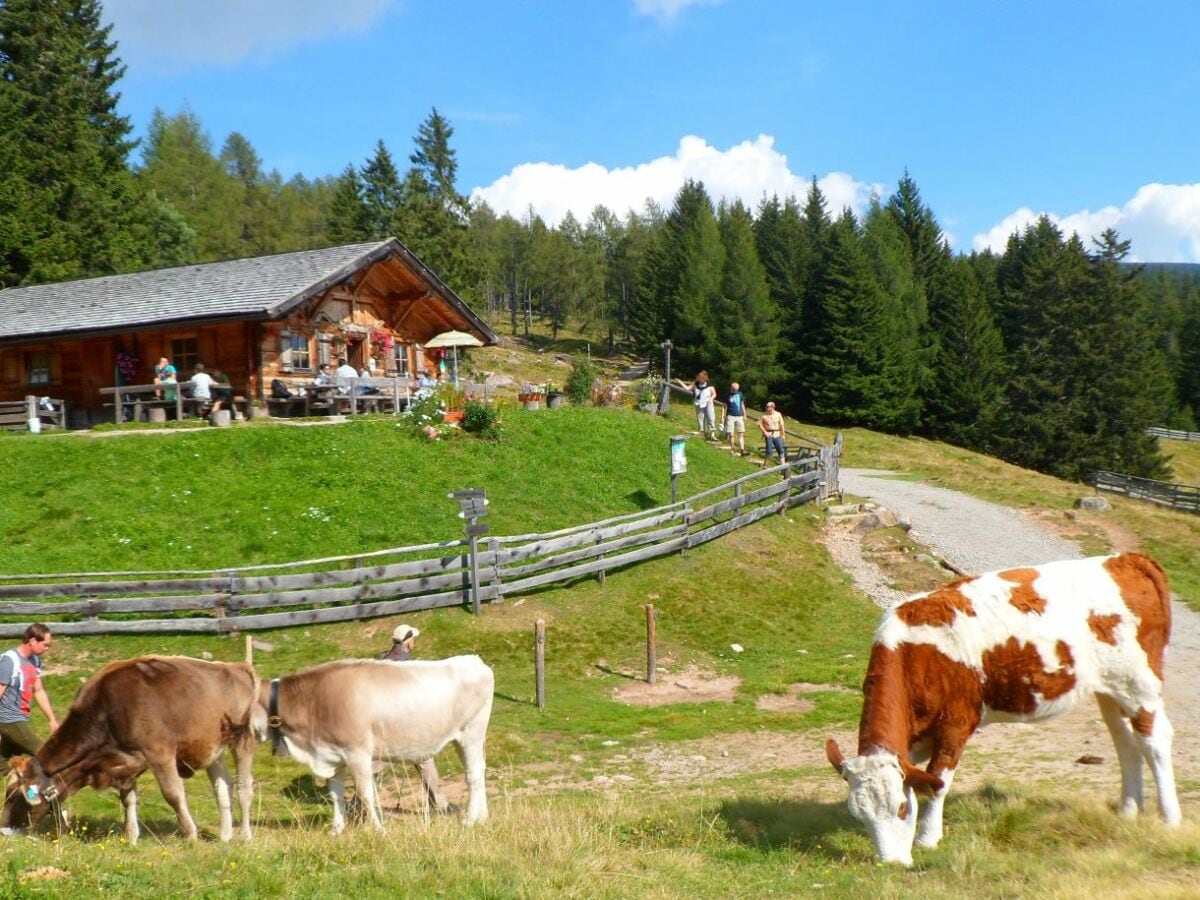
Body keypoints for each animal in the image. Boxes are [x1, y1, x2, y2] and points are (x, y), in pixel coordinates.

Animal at [2, 657, 258, 844]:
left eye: (14, 795)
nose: (4, 829)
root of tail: (236, 667)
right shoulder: (125, 763)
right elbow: (128, 799)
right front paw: (132, 836)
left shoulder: (159, 753)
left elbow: (173, 795)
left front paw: (190, 834)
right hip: (213, 749)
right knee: (223, 787)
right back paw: (225, 836)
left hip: (243, 740)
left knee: (244, 788)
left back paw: (244, 835)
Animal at [253, 657, 492, 840]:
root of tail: (475, 661)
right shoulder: (335, 756)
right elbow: (336, 795)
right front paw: (336, 830)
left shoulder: (357, 753)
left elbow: (366, 793)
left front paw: (378, 829)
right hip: (462, 739)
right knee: (479, 772)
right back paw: (482, 817)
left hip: (472, 732)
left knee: (472, 775)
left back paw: (469, 820)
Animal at [825, 554, 1180, 868]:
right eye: (859, 815)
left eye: (901, 809)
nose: (892, 864)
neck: (915, 654)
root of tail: (1124, 559)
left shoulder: (956, 722)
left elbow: (938, 780)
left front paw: (928, 839)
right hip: (1110, 688)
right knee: (1125, 742)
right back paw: (1128, 811)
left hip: (1139, 683)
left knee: (1154, 740)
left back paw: (1169, 818)